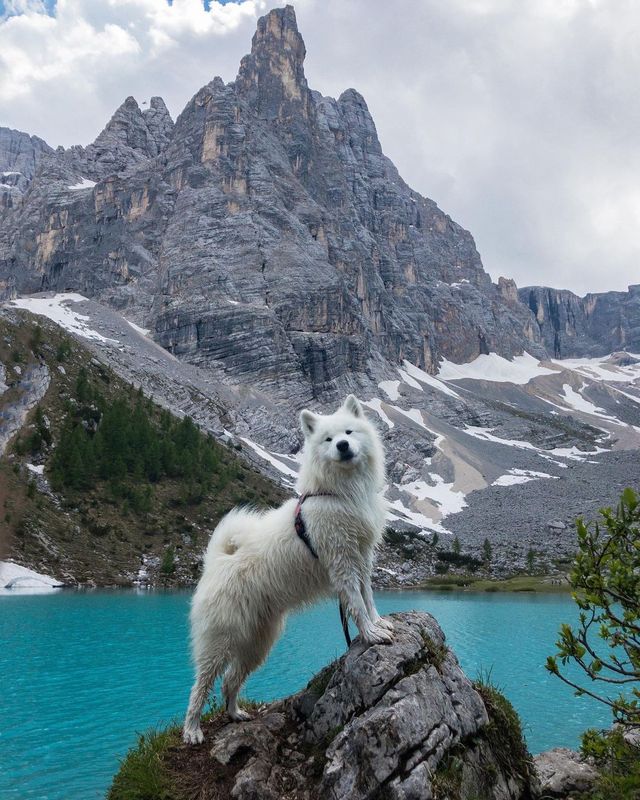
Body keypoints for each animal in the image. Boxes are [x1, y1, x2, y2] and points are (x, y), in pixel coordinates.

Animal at [182, 394, 392, 744]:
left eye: (349, 432)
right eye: (328, 439)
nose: (343, 445)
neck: (340, 493)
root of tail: (217, 561)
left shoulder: (361, 558)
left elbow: (368, 597)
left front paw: (378, 624)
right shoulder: (342, 561)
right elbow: (357, 604)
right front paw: (371, 634)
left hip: (258, 643)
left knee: (230, 681)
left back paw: (235, 714)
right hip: (220, 640)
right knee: (200, 686)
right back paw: (192, 729)